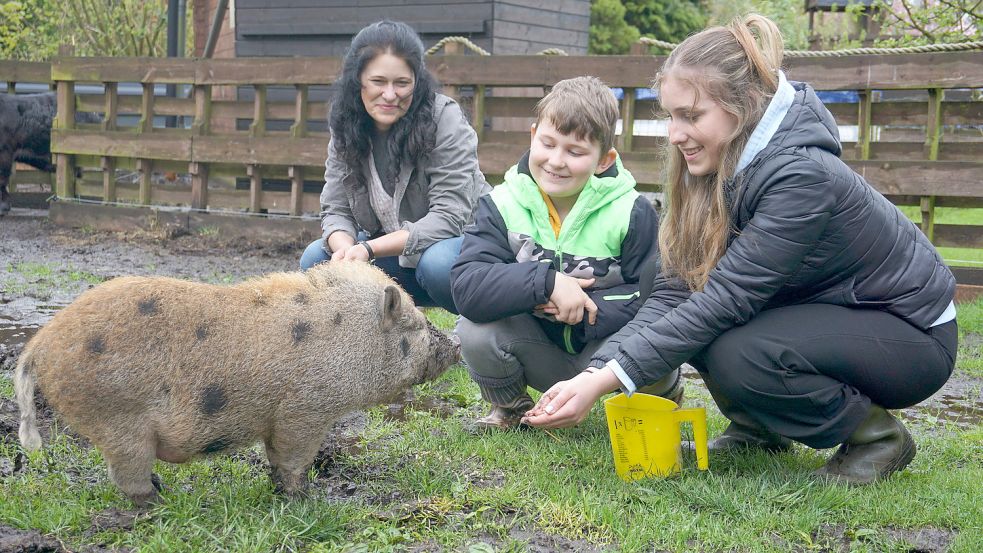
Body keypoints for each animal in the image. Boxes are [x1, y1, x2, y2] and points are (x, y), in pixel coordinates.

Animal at [14, 260, 462, 506]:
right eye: (417, 325)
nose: (456, 343)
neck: (350, 338)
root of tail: (41, 344)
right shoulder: (305, 410)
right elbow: (294, 458)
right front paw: (308, 500)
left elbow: (275, 457)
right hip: (115, 416)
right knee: (128, 476)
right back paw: (160, 503)